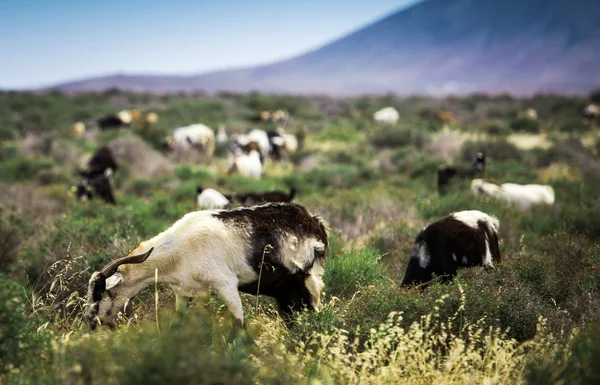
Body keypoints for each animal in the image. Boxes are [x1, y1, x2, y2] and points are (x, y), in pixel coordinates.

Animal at [84, 201, 328, 328]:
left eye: (103, 293)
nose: (90, 320)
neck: (180, 250)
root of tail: (314, 221)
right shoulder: (183, 292)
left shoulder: (226, 284)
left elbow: (239, 326)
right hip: (287, 292)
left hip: (308, 279)